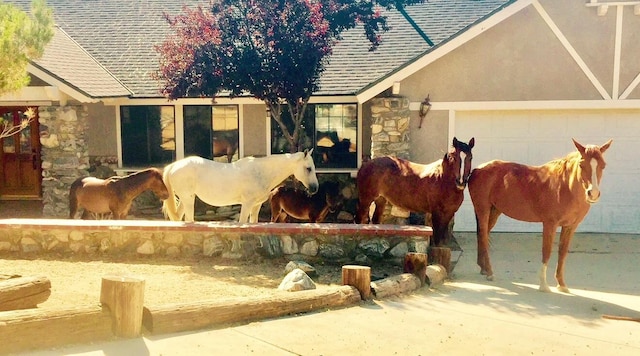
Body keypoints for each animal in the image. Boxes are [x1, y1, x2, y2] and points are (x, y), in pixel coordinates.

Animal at [161, 148, 318, 222]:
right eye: (308, 168)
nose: (315, 188)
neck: (261, 172)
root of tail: (173, 166)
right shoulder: (247, 204)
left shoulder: (256, 205)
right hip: (188, 199)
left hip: (185, 199)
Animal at [468, 138, 612, 292]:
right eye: (581, 164)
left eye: (603, 165)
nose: (593, 193)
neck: (564, 187)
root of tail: (477, 170)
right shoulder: (550, 224)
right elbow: (546, 251)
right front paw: (543, 285)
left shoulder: (570, 227)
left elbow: (562, 252)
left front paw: (562, 284)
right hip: (483, 209)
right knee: (483, 236)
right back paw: (489, 272)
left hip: (494, 211)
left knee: (482, 235)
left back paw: (483, 269)